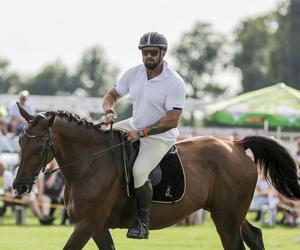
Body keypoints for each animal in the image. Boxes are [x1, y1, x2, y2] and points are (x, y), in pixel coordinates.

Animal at [12, 104, 300, 249]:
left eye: (39, 146)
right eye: (20, 141)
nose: (19, 186)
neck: (90, 162)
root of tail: (237, 145)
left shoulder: (87, 224)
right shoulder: (98, 227)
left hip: (226, 220)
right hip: (228, 214)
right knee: (255, 235)